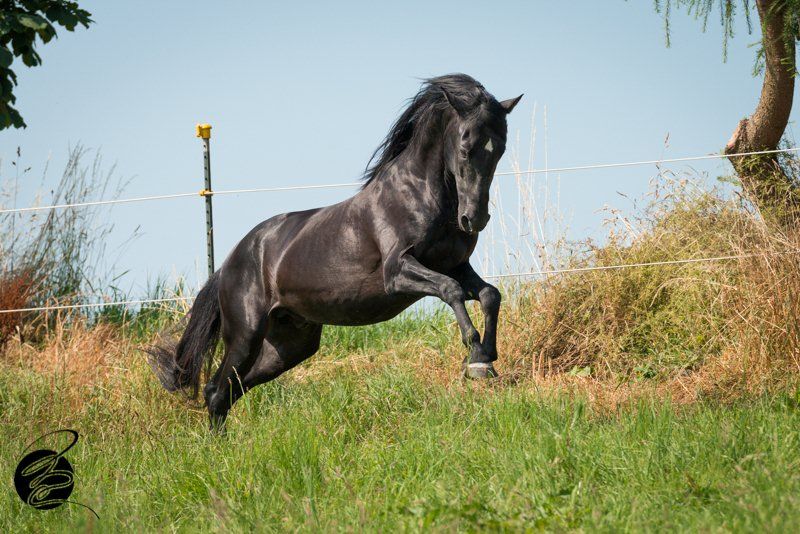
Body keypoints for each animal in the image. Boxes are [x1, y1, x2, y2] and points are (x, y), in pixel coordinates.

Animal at [149, 73, 522, 429]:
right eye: (465, 146)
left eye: (500, 149)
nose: (474, 219)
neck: (418, 194)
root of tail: (228, 264)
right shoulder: (398, 272)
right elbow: (451, 290)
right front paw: (475, 355)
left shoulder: (456, 265)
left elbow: (489, 294)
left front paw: (487, 357)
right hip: (245, 335)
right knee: (216, 391)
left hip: (290, 344)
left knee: (230, 391)